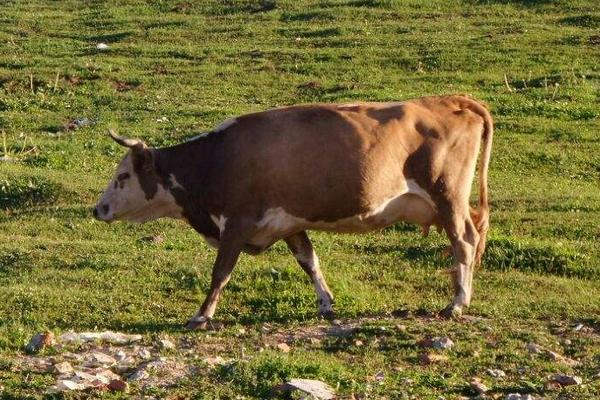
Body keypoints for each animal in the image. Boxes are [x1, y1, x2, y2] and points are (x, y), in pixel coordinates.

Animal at [95, 95, 492, 330]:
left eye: (124, 175)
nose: (98, 208)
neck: (215, 161)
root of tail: (453, 101)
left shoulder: (236, 225)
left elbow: (220, 273)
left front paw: (201, 315)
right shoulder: (288, 223)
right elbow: (309, 260)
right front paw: (326, 303)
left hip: (448, 197)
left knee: (464, 243)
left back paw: (457, 303)